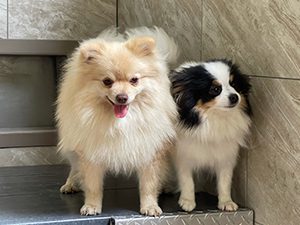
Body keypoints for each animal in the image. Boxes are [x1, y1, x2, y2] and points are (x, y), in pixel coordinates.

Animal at [56, 26, 178, 216]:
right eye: (107, 81)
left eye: (134, 80)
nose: (122, 97)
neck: (119, 123)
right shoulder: (91, 152)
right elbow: (93, 185)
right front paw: (91, 206)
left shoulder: (149, 150)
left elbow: (148, 185)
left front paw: (150, 206)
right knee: (74, 166)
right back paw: (71, 183)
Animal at [170, 59, 252, 211]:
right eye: (215, 89)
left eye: (234, 85)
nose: (234, 96)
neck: (215, 117)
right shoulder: (183, 153)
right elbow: (186, 179)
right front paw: (187, 201)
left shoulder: (226, 154)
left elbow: (225, 180)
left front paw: (226, 202)